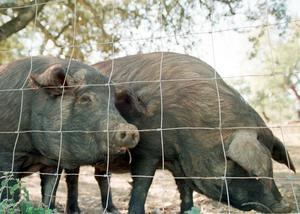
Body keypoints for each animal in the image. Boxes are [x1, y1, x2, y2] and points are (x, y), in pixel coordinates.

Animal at [63, 52, 296, 213]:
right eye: (237, 164)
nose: (285, 207)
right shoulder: (147, 151)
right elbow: (141, 186)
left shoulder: (180, 163)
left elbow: (185, 191)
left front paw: (187, 209)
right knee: (72, 178)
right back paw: (73, 210)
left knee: (100, 176)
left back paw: (112, 210)